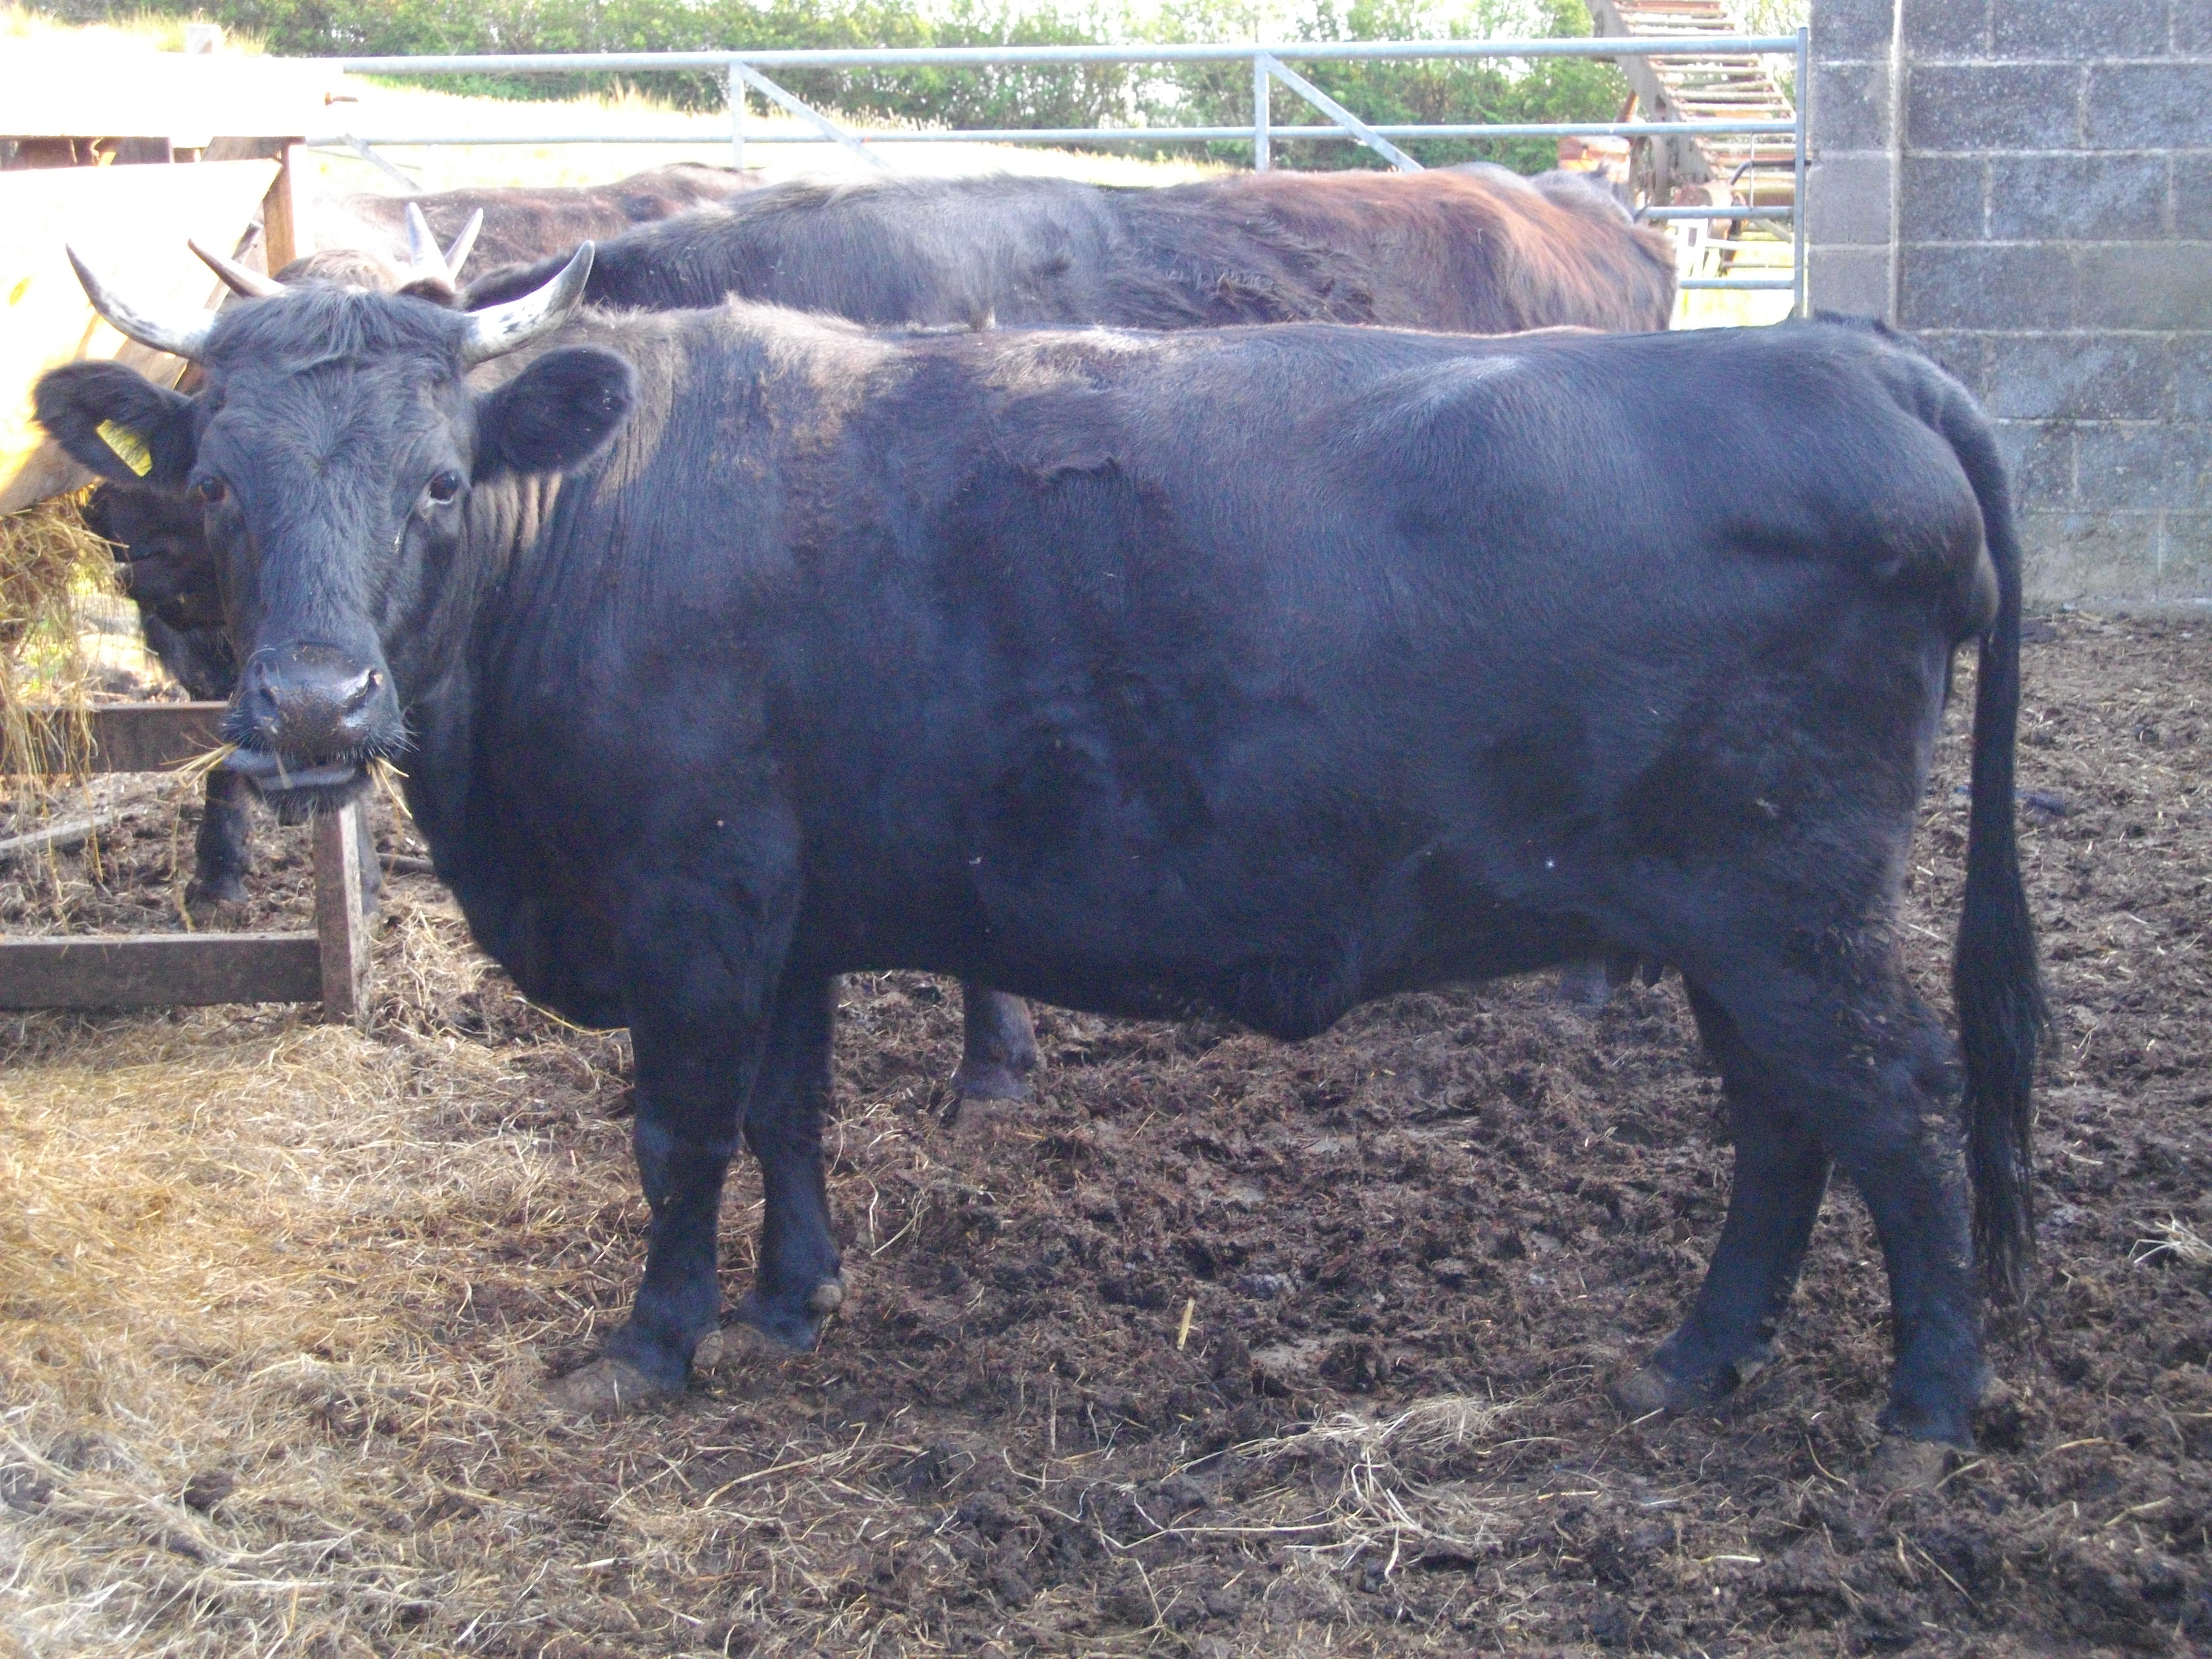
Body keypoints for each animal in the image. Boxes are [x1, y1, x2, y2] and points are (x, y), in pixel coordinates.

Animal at [39, 260, 2035, 1469]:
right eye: (217, 485)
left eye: (441, 482)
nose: (311, 704)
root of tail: (1835, 348)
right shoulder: (790, 913)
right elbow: (789, 1109)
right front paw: (792, 1301)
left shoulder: (693, 905)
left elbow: (680, 1133)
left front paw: (656, 1339)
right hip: (1725, 922)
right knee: (1784, 1125)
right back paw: (1694, 1359)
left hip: (1791, 908)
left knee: (1891, 1109)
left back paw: (1927, 1406)